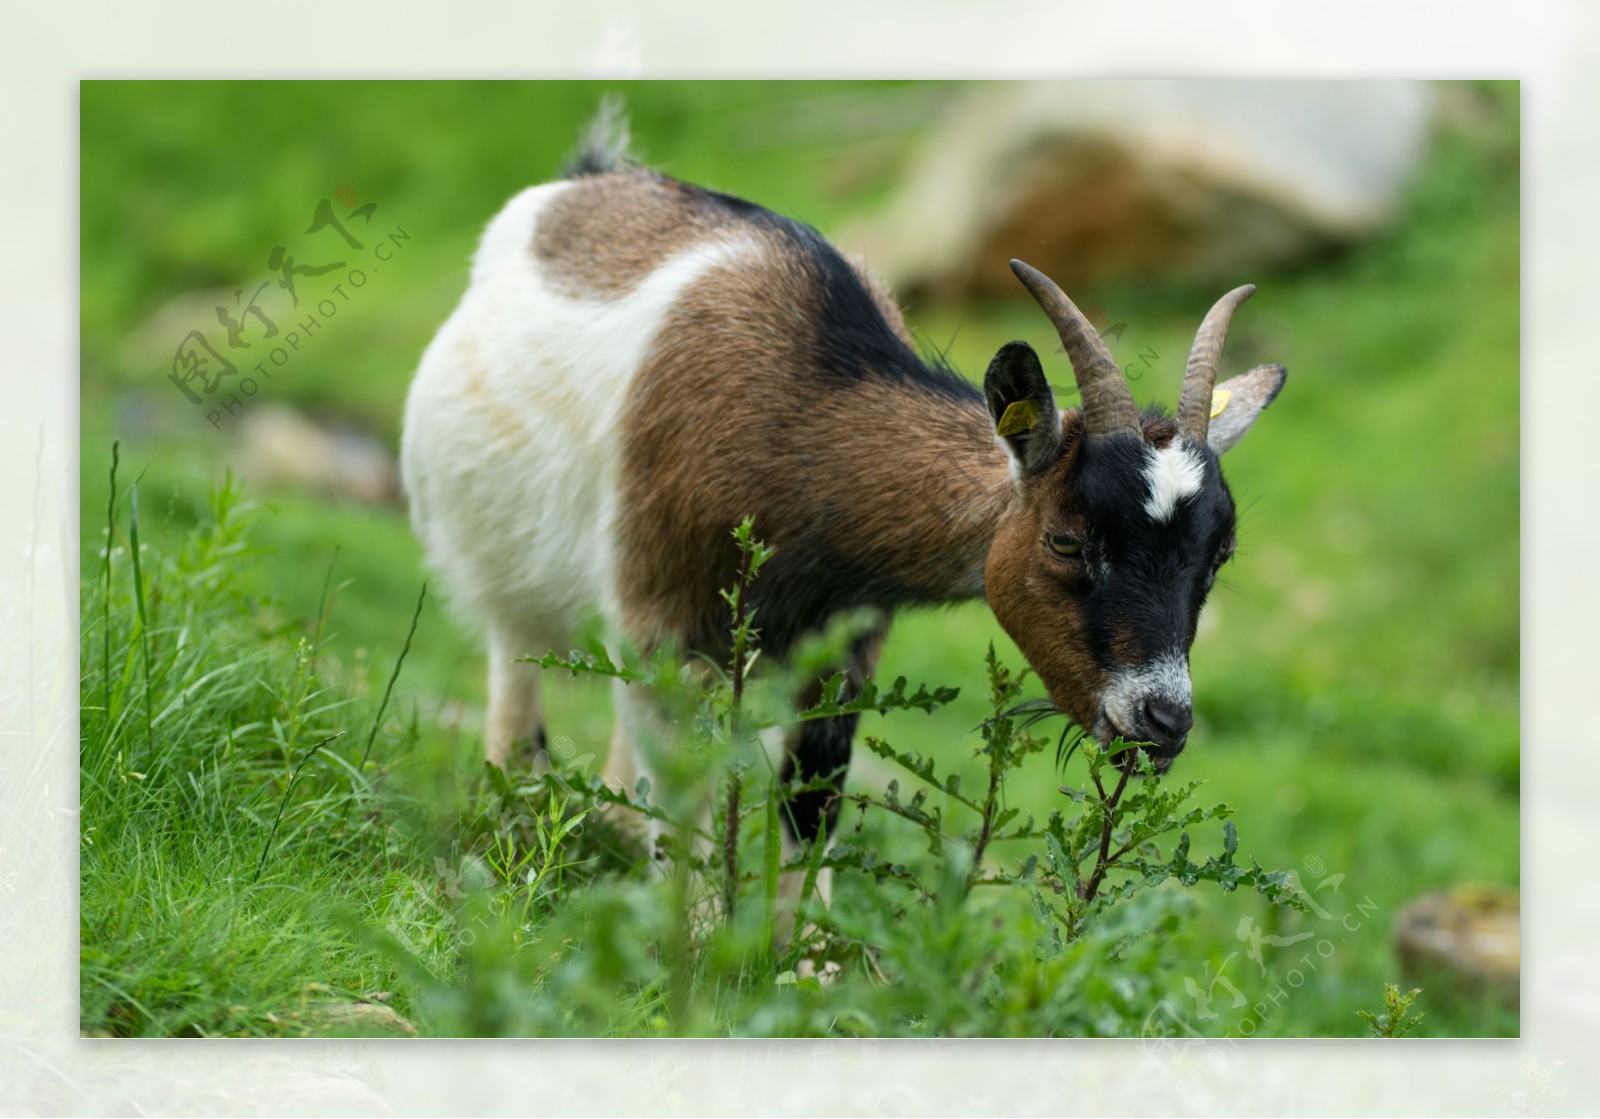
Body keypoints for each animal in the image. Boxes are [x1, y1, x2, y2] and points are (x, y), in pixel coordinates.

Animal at [400, 116, 1286, 858]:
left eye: (1218, 555)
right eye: (1066, 539)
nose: (1163, 719)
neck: (801, 429)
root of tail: (586, 179)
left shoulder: (845, 643)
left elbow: (810, 804)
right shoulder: (664, 615)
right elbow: (688, 810)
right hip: (500, 566)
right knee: (518, 679)